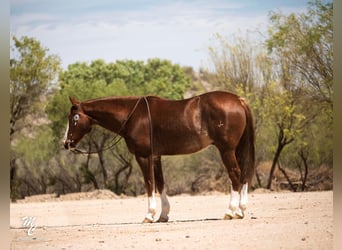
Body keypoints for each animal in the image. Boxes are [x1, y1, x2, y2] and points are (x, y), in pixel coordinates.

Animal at [63, 91, 254, 223]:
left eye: (74, 118)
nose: (66, 143)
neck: (132, 116)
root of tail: (238, 100)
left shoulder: (143, 156)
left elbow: (149, 184)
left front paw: (149, 215)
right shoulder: (155, 157)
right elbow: (160, 184)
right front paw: (163, 215)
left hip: (226, 150)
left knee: (235, 175)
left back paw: (230, 211)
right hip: (237, 149)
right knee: (243, 174)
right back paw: (240, 210)